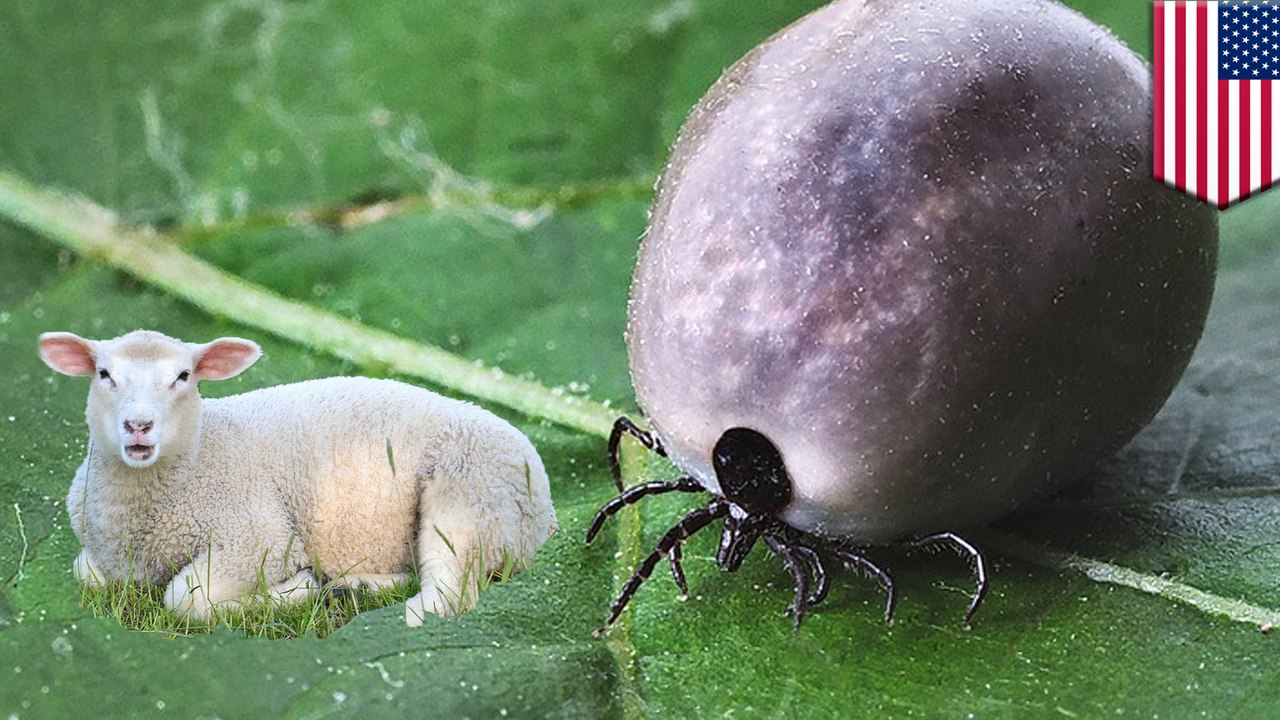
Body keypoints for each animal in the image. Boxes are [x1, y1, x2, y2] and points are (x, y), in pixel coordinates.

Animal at [38, 329, 558, 627]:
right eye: (104, 374)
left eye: (184, 376)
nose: (139, 425)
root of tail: (548, 514)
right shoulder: (101, 555)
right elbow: (87, 575)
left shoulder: (257, 538)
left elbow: (184, 600)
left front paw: (294, 590)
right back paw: (356, 585)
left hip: (469, 494)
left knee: (448, 595)